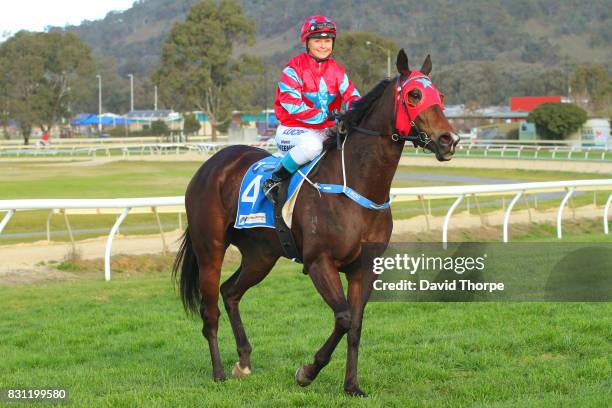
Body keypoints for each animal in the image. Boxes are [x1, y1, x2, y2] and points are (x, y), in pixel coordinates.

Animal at [172, 49, 460, 396]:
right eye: (415, 94)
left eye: (439, 96)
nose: (449, 139)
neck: (357, 185)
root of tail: (211, 165)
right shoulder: (319, 261)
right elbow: (344, 318)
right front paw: (307, 372)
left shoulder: (364, 267)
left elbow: (356, 324)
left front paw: (351, 386)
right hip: (210, 249)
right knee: (210, 309)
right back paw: (218, 373)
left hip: (260, 255)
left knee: (230, 292)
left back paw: (243, 362)